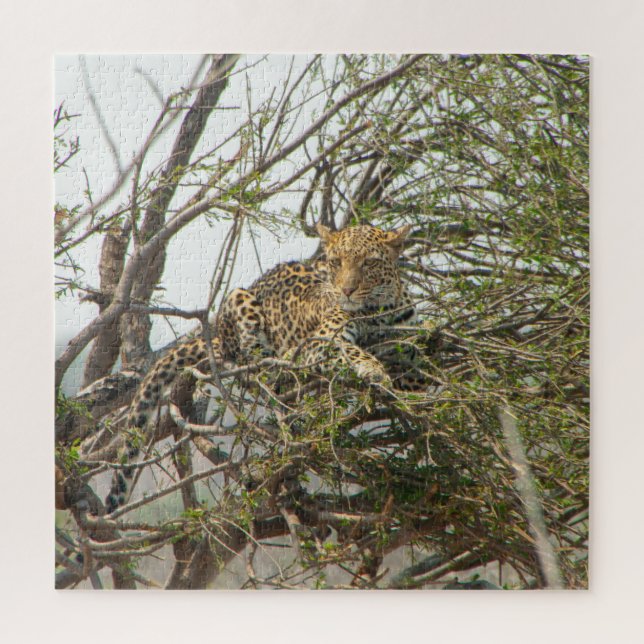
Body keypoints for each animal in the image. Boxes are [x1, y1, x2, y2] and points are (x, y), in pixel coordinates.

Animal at [105, 223, 417, 513]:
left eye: (369, 263)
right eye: (337, 262)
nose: (347, 291)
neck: (379, 310)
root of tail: (218, 335)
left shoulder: (408, 342)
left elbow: (414, 364)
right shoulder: (322, 342)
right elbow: (349, 350)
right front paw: (373, 369)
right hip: (240, 299)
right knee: (255, 363)